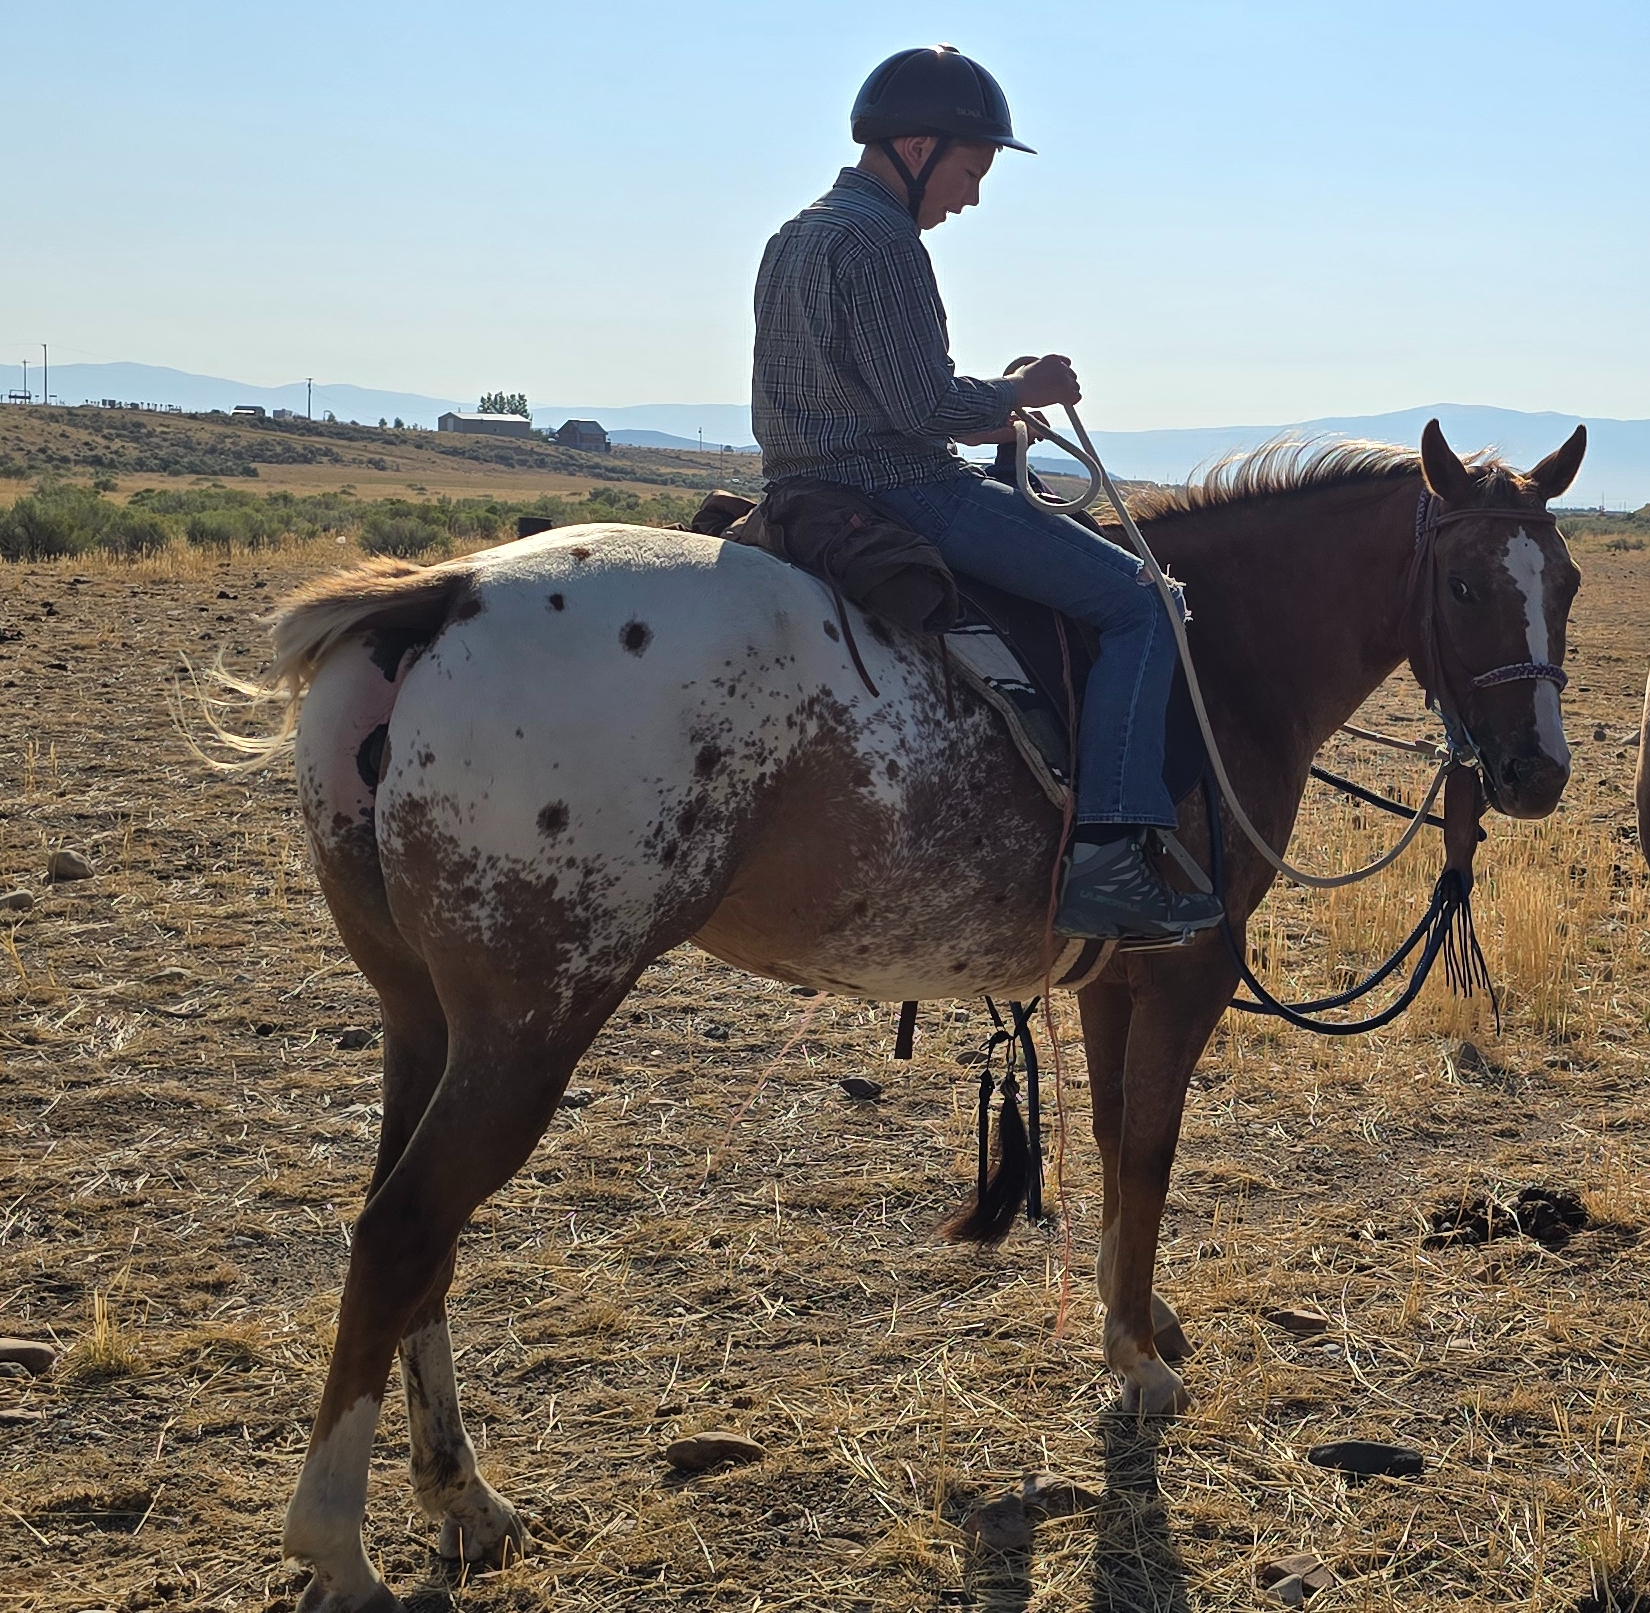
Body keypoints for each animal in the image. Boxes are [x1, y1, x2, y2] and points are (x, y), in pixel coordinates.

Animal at [220, 420, 1584, 1612]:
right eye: (1466, 583)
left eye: (1565, 581)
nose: (1535, 774)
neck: (1220, 656)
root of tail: (440, 595)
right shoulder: (1187, 970)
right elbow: (1148, 1151)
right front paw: (1138, 1362)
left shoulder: (1112, 976)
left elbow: (1110, 1150)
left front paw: (1132, 1316)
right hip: (529, 1024)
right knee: (404, 1229)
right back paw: (339, 1545)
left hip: (427, 1019)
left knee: (421, 1239)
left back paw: (463, 1496)